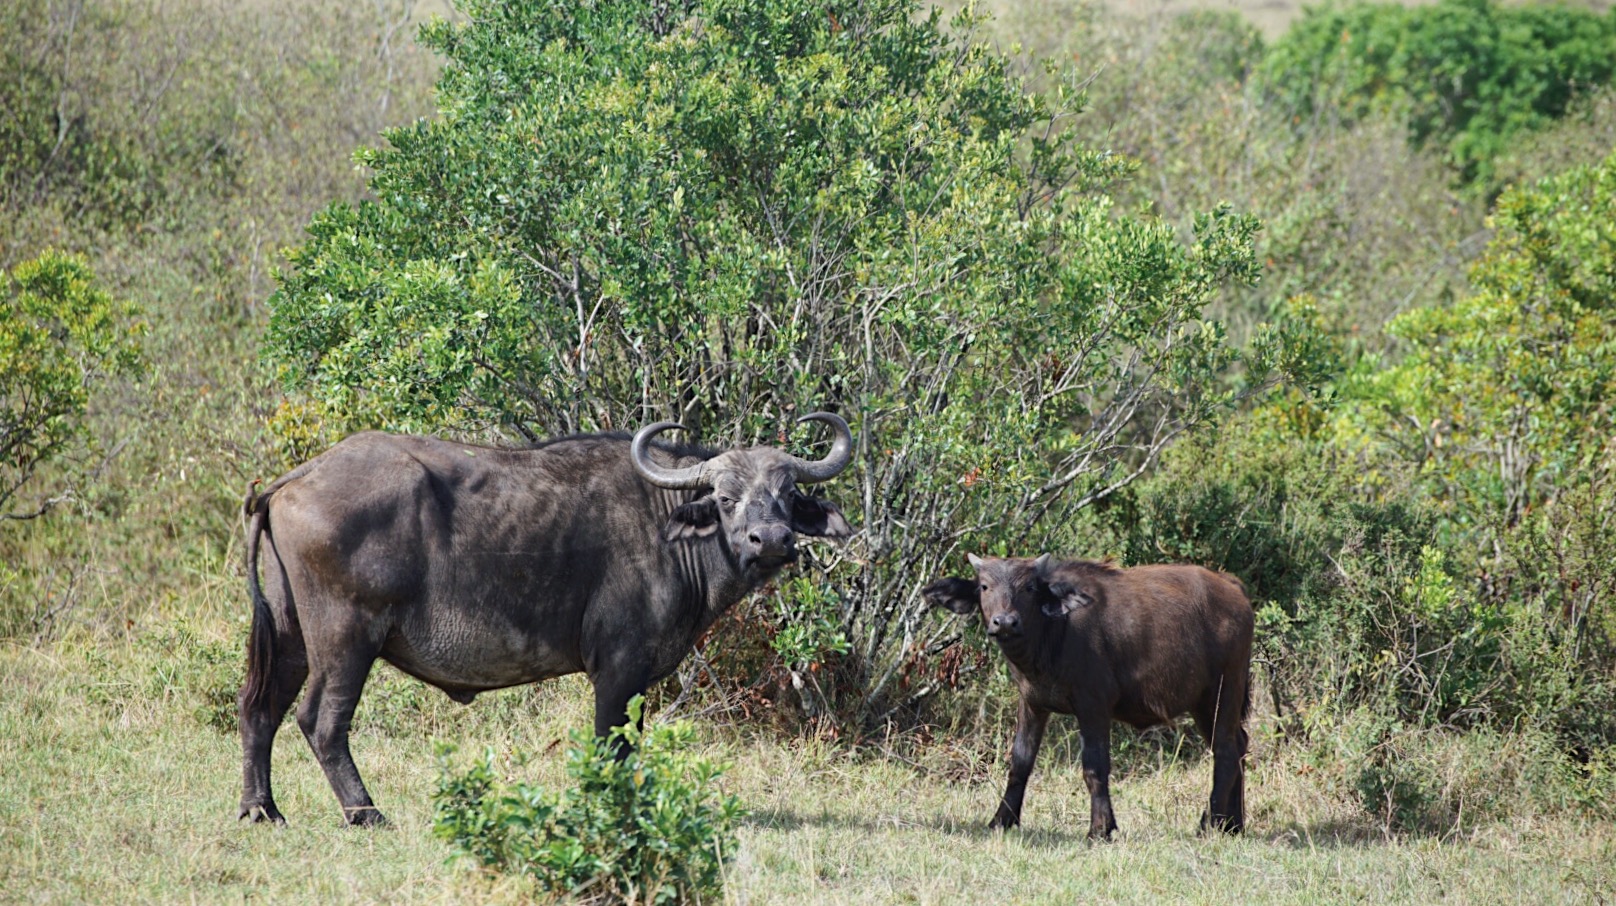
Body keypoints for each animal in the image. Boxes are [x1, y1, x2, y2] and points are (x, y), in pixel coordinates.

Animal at [235, 413, 859, 823]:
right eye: (726, 498)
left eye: (787, 495)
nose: (771, 540)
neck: (664, 526)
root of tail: (292, 480)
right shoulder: (618, 670)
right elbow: (612, 747)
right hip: (346, 641)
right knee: (321, 721)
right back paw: (365, 812)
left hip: (291, 638)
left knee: (259, 708)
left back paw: (261, 809)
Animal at [930, 555, 1254, 839]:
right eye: (985, 586)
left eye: (1029, 587)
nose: (1005, 622)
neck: (1053, 633)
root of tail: (1232, 587)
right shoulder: (1032, 703)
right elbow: (1020, 763)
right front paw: (1001, 820)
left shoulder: (1093, 706)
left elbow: (1095, 767)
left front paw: (1100, 829)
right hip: (1204, 704)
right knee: (1239, 743)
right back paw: (1233, 825)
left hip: (1223, 691)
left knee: (1225, 751)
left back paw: (1209, 823)